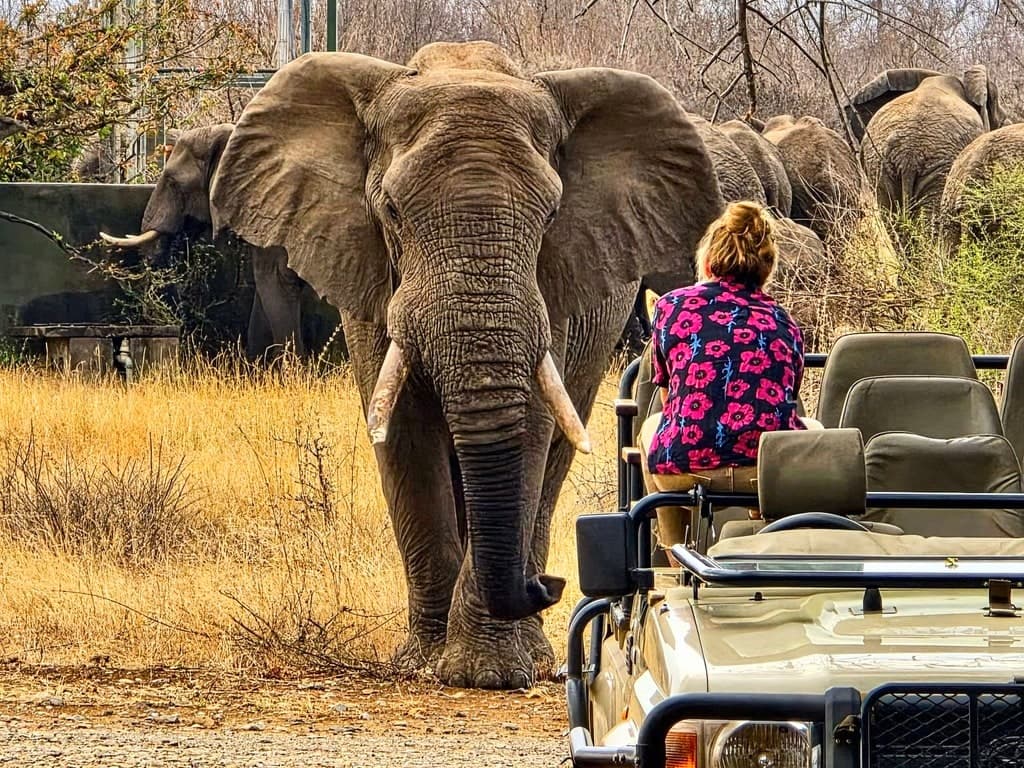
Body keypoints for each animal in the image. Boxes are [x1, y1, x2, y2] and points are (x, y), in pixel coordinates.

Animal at [207, 41, 724, 688]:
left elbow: (529, 432)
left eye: (552, 213)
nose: (549, 585)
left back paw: (532, 649)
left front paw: (488, 673)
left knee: (554, 457)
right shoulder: (372, 280)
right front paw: (423, 663)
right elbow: (403, 432)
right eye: (391, 210)